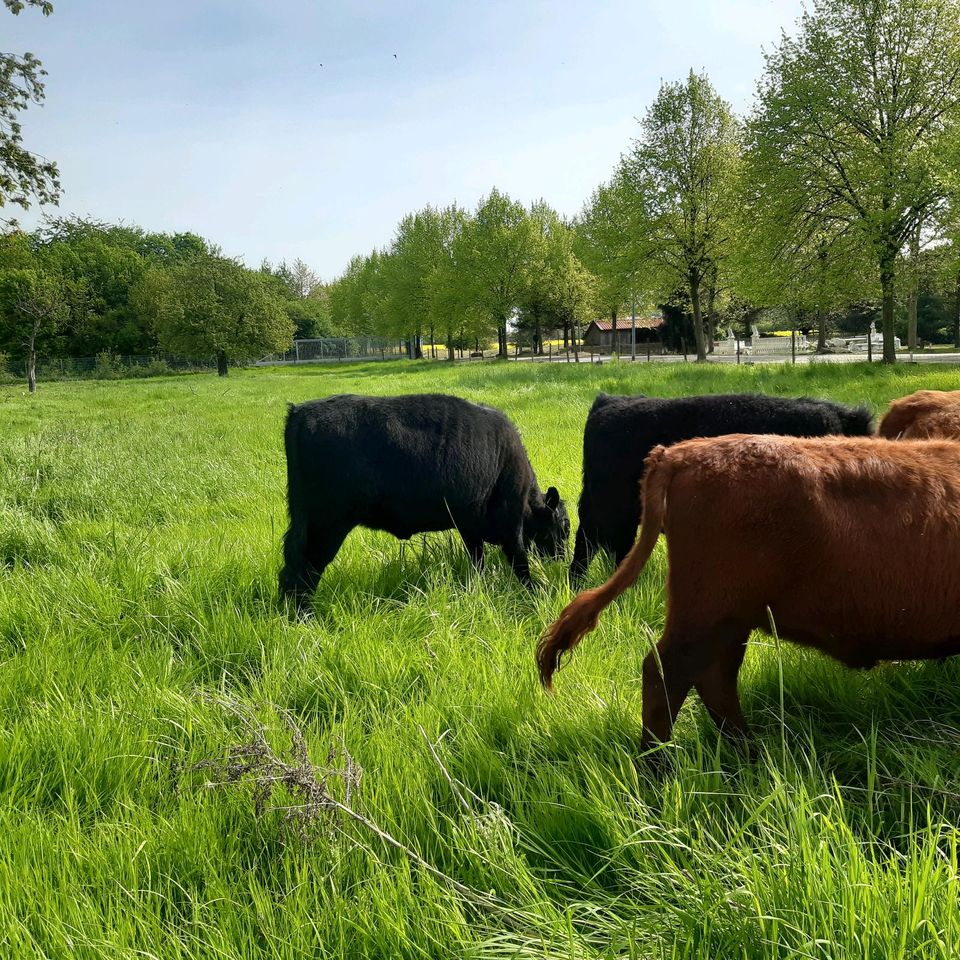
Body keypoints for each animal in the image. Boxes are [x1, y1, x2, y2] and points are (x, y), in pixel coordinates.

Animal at [278, 390, 568, 608]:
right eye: (564, 526)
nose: (561, 557)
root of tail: (301, 412)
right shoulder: (511, 524)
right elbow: (520, 561)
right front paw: (534, 592)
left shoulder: (469, 527)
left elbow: (478, 561)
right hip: (327, 525)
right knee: (306, 569)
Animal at [536, 436, 960, 752]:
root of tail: (680, 453)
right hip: (707, 617)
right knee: (666, 677)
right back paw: (659, 774)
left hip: (730, 622)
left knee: (713, 682)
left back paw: (749, 753)